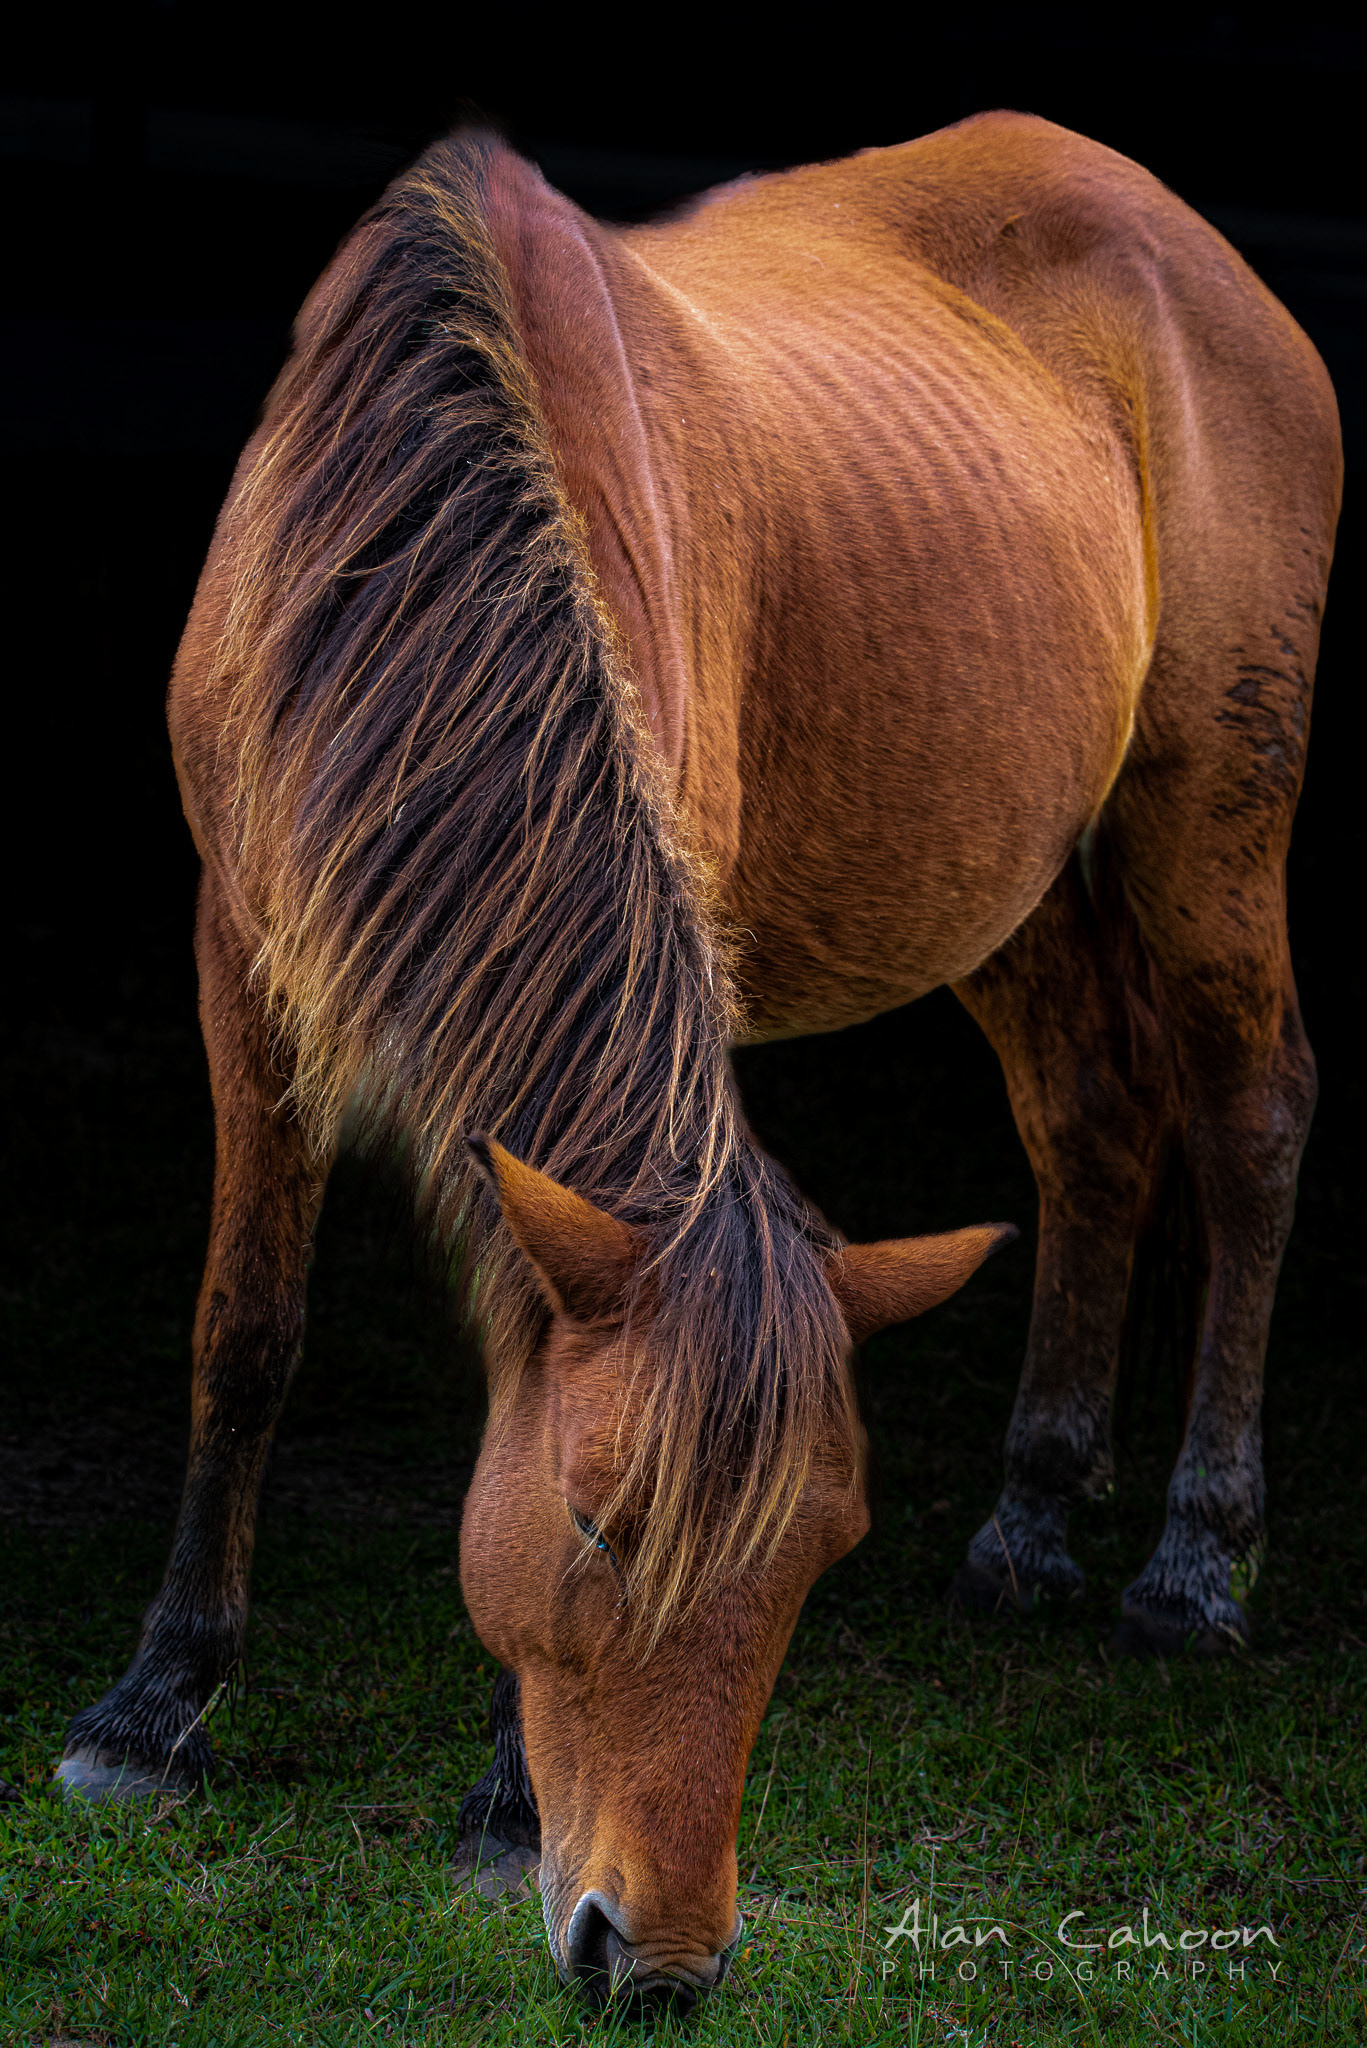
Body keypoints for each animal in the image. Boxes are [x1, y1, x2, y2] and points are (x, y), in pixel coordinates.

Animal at [55, 112, 1340, 2011]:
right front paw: (153, 1708)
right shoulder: (244, 951)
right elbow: (245, 1333)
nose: (653, 1960)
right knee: (1094, 1121)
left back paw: (1191, 1561)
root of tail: (1185, 238)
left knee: (1250, 1117)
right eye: (596, 1526)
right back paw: (1031, 1514)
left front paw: (498, 1800)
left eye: (815, 1560)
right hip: (1000, 869)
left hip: (1208, 817)